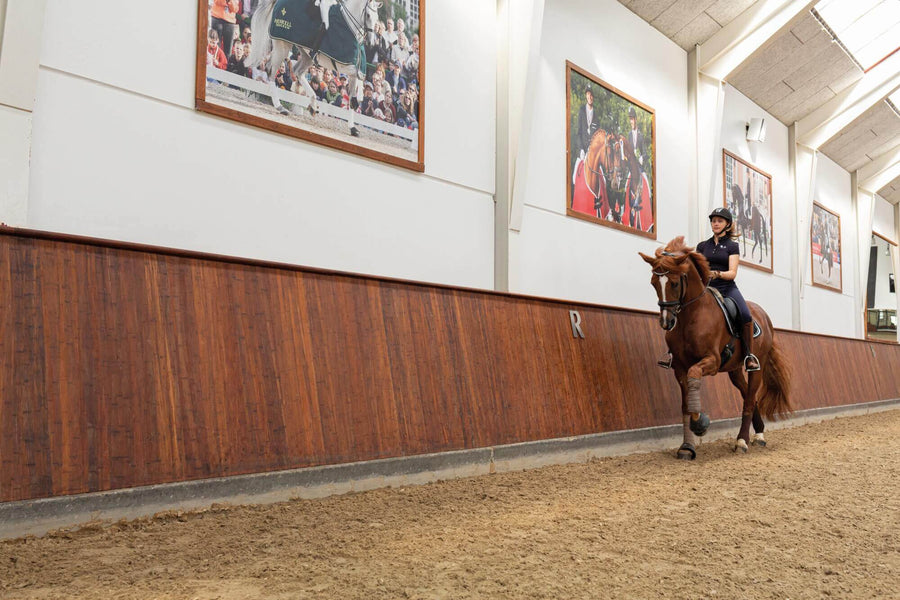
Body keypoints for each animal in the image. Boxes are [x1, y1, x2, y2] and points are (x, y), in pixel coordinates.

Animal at [636, 237, 792, 458]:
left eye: (674, 283)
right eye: (654, 283)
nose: (666, 322)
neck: (690, 316)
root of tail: (764, 316)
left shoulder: (711, 361)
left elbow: (694, 376)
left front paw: (700, 423)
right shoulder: (679, 367)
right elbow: (685, 404)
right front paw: (687, 446)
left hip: (756, 366)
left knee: (749, 398)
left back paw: (742, 441)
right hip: (734, 370)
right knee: (748, 395)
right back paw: (759, 434)